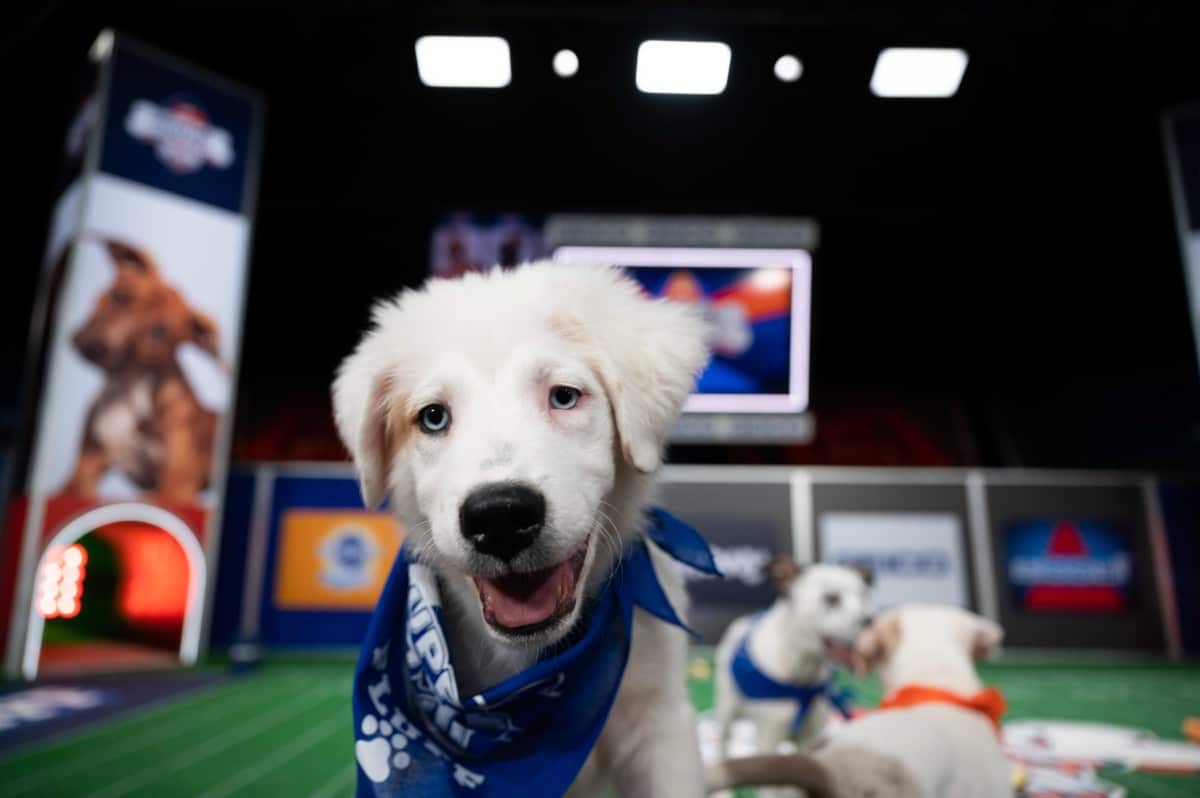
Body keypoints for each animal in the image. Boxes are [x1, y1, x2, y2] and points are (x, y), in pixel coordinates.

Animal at [710, 556, 873, 758]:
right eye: (832, 598)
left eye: (864, 596)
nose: (870, 620)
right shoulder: (769, 737)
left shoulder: (812, 736)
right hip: (726, 709)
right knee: (724, 741)